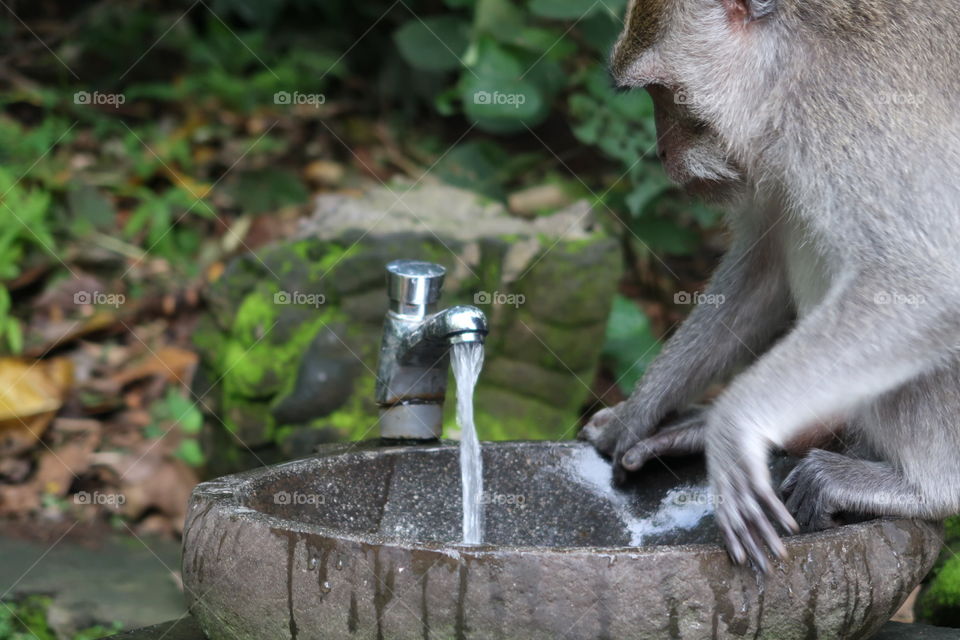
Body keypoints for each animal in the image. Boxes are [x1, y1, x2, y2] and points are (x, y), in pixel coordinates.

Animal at [581, 0, 960, 573]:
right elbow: (764, 268)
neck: (793, 53)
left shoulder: (841, 109)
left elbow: (921, 278)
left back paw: (928, 487)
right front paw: (639, 413)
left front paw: (734, 429)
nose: (661, 153)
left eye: (663, 92)